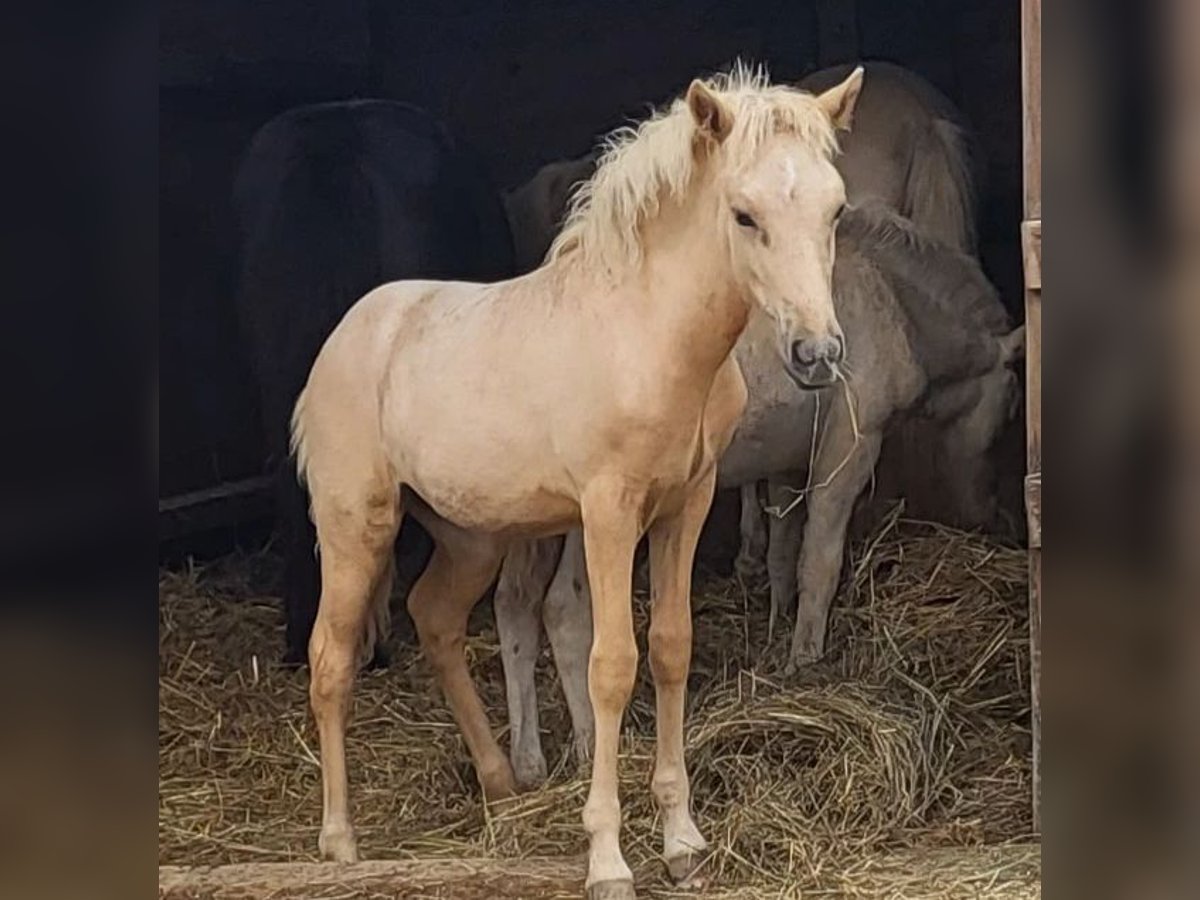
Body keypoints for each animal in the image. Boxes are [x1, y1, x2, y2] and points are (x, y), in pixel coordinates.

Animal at [290, 66, 864, 897]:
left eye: (835, 209)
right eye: (744, 215)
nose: (816, 354)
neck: (650, 336)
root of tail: (342, 340)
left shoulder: (686, 504)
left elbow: (671, 647)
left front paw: (683, 843)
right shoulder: (608, 512)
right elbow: (610, 664)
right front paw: (608, 859)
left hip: (469, 538)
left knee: (435, 618)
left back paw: (501, 782)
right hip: (354, 524)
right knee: (330, 660)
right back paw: (339, 843)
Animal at [492, 204, 1027, 787]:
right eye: (1009, 409)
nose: (993, 512)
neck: (891, 299)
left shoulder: (786, 461)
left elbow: (782, 553)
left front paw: (776, 633)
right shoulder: (850, 449)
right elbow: (820, 561)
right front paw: (805, 661)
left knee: (515, 607)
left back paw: (527, 763)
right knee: (565, 609)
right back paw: (592, 744)